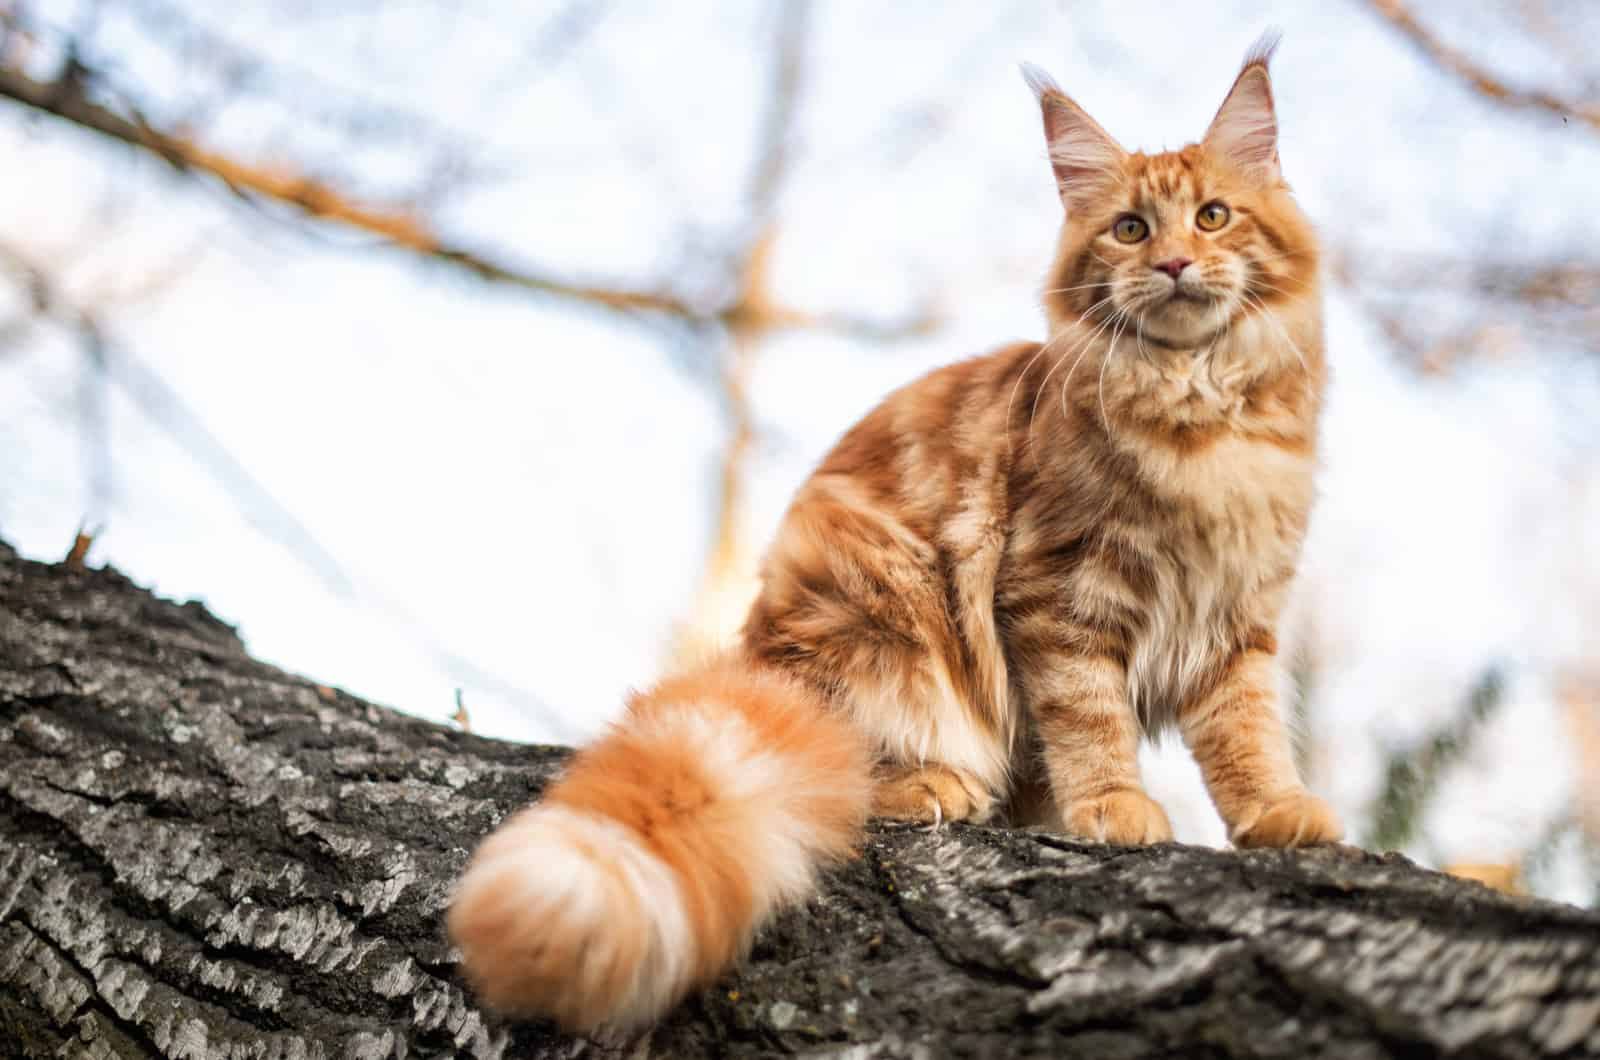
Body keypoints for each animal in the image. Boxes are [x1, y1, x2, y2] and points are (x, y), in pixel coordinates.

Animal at [444, 35, 1331, 1037]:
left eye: (1213, 217)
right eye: (1131, 230)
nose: (1177, 263)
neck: (1201, 419)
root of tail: (758, 659)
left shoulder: (1241, 616)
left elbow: (1246, 732)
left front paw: (1276, 811)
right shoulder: (1056, 593)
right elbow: (1090, 717)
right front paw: (1112, 804)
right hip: (882, 598)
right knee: (858, 761)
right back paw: (938, 785)